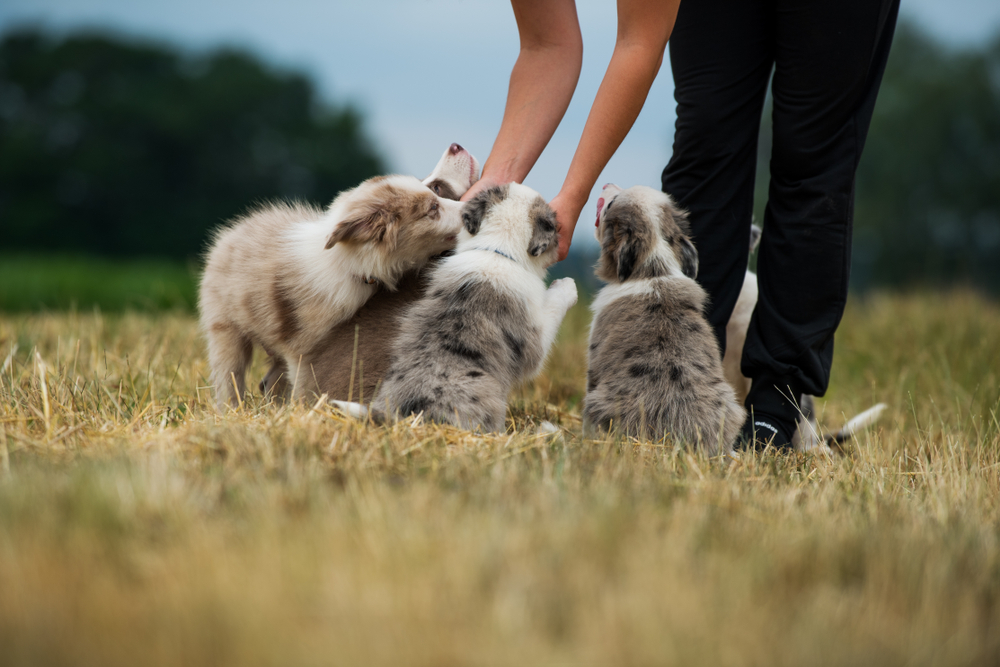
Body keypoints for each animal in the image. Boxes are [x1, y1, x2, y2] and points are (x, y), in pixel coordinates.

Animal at [206, 172, 468, 408]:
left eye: (435, 194)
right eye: (433, 208)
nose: (471, 207)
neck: (346, 261)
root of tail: (231, 233)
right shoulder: (302, 347)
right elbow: (303, 386)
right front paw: (300, 413)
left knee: (268, 381)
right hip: (224, 325)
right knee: (229, 375)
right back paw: (231, 410)